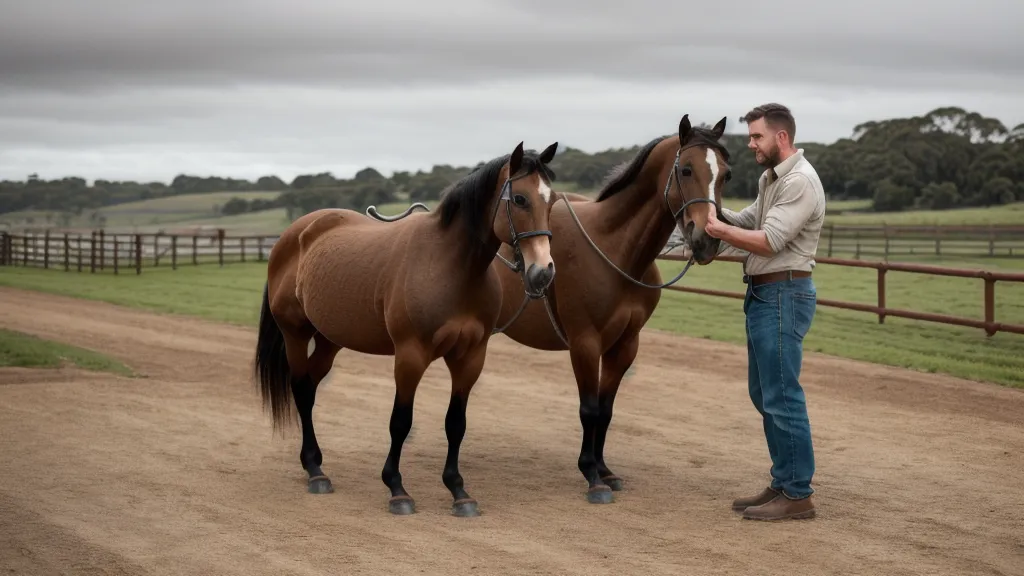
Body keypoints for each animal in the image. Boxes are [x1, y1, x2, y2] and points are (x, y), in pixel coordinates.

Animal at [253, 141, 560, 517]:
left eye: (552, 200)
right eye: (519, 199)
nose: (543, 272)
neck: (451, 267)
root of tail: (293, 235)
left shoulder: (470, 357)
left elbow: (456, 424)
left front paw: (458, 490)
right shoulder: (411, 355)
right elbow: (400, 422)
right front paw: (397, 488)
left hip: (329, 340)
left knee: (310, 386)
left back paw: (316, 464)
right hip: (295, 333)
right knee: (301, 391)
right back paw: (315, 470)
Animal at [490, 114, 733, 505]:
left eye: (726, 174)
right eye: (685, 169)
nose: (707, 239)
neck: (613, 249)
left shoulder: (625, 345)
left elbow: (605, 410)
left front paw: (604, 470)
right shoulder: (584, 344)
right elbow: (589, 409)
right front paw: (592, 476)